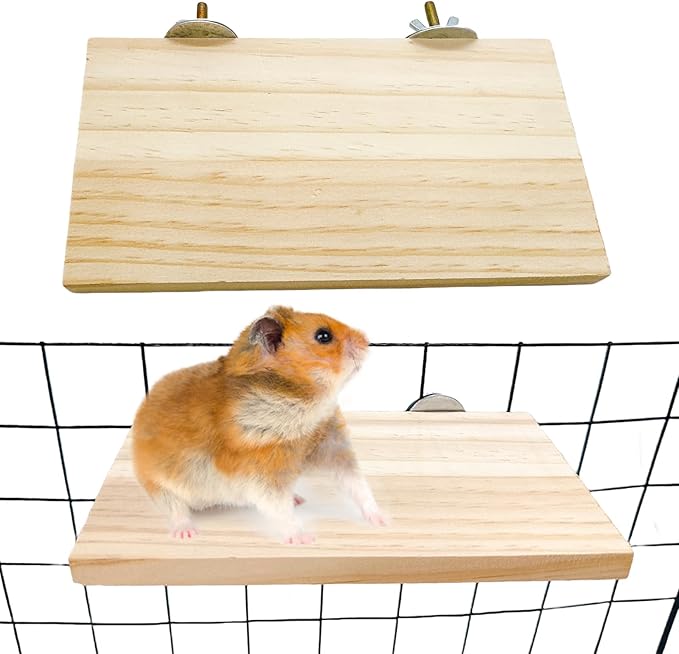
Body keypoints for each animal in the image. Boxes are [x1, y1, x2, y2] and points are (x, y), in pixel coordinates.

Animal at [132, 306, 386, 544]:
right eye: (323, 336)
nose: (366, 340)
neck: (305, 403)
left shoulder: (333, 446)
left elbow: (357, 484)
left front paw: (382, 520)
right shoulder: (262, 472)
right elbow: (279, 508)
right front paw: (304, 539)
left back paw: (298, 498)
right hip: (159, 485)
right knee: (175, 509)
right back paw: (186, 533)